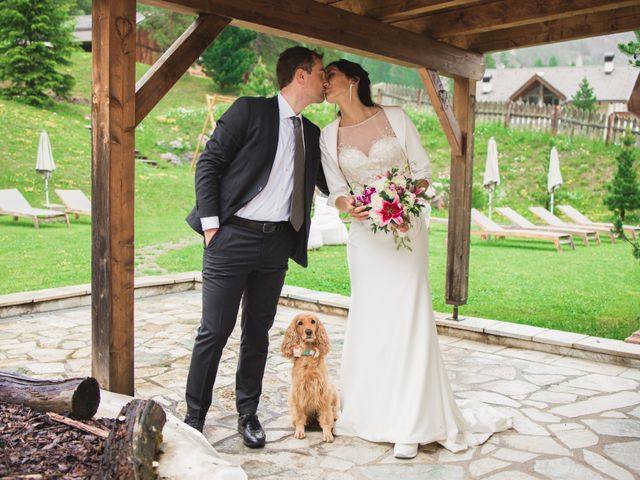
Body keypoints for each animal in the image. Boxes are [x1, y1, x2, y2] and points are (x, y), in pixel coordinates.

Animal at [282, 312, 340, 442]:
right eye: (300, 323)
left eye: (313, 321)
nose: (309, 332)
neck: (308, 356)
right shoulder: (298, 393)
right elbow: (299, 417)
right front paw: (299, 431)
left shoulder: (323, 393)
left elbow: (326, 417)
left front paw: (327, 434)